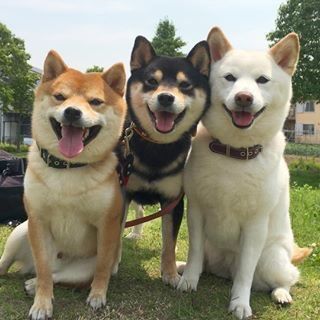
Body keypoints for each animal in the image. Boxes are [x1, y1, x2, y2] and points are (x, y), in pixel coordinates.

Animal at [122, 36, 210, 286]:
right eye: (152, 81)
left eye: (185, 85)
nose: (166, 97)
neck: (157, 147)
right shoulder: (122, 193)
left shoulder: (173, 201)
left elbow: (169, 242)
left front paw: (170, 274)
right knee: (138, 212)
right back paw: (134, 233)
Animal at [178, 26, 308, 318]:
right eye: (230, 78)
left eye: (262, 80)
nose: (244, 97)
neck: (234, 153)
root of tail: (225, 270)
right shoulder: (197, 211)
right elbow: (194, 253)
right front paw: (188, 280)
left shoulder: (255, 224)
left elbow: (246, 273)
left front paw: (239, 302)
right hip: (213, 250)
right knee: (206, 262)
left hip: (272, 257)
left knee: (287, 277)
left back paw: (281, 293)